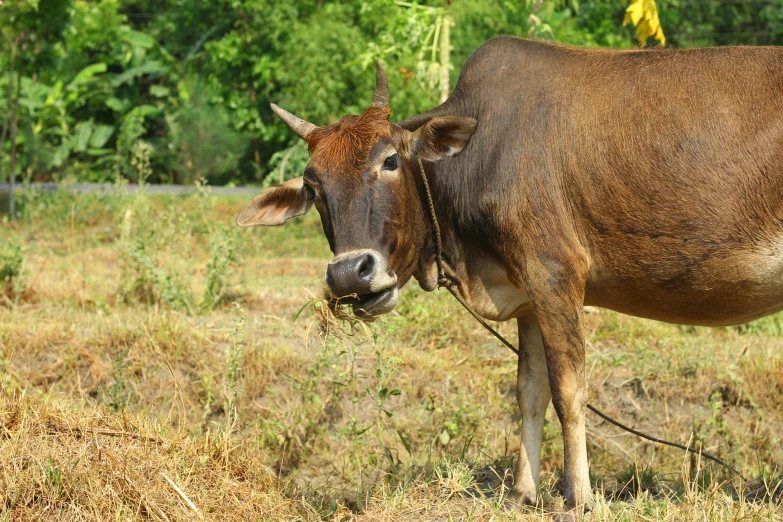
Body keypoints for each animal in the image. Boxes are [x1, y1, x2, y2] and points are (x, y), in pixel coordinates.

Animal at [239, 37, 783, 516]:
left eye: (389, 160)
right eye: (313, 186)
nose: (350, 273)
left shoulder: (555, 275)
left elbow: (569, 390)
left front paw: (581, 497)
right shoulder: (527, 295)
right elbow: (530, 392)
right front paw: (524, 492)